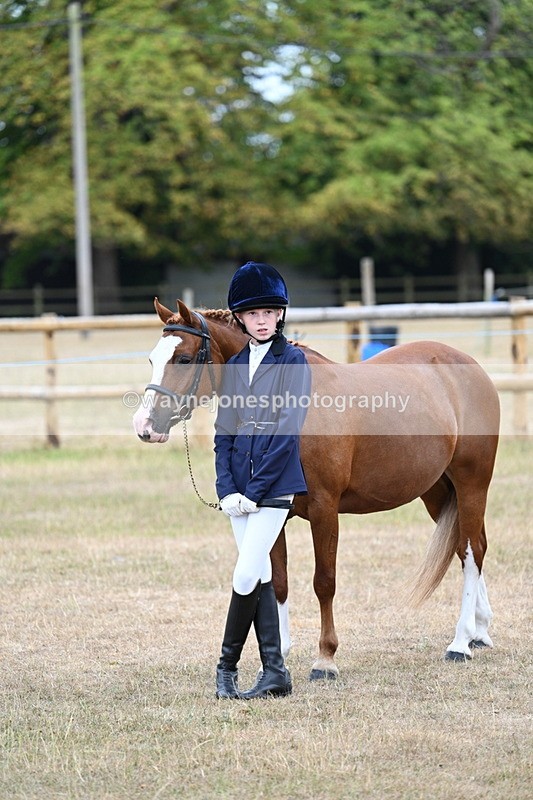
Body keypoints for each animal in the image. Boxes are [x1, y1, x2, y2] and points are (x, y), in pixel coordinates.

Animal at [133, 298, 500, 678]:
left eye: (184, 359)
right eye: (152, 360)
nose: (145, 426)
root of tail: (469, 367)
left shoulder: (325, 510)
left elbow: (324, 582)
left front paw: (326, 658)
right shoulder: (271, 510)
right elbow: (277, 581)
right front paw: (278, 655)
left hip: (472, 483)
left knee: (471, 551)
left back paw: (460, 642)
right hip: (437, 492)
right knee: (468, 545)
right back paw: (479, 630)